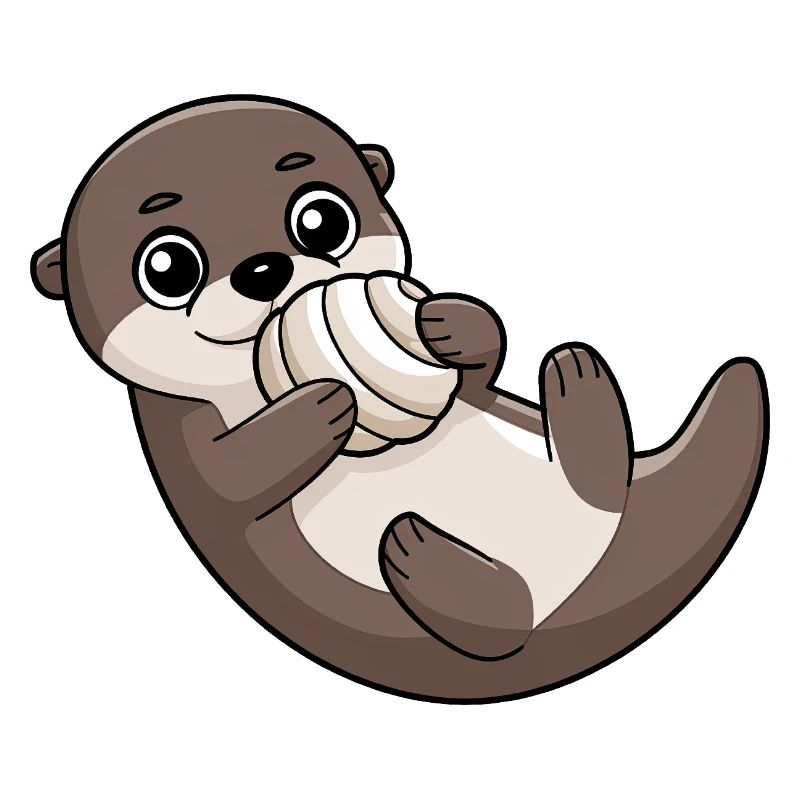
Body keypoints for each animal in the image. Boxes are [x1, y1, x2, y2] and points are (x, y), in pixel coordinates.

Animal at [32, 95, 768, 702]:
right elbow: (228, 476)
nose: (265, 269)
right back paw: (424, 556)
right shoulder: (176, 429)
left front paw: (449, 323)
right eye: (167, 266)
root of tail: (576, 592)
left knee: (596, 498)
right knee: (501, 629)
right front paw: (324, 401)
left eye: (321, 219)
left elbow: (480, 362)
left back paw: (579, 394)